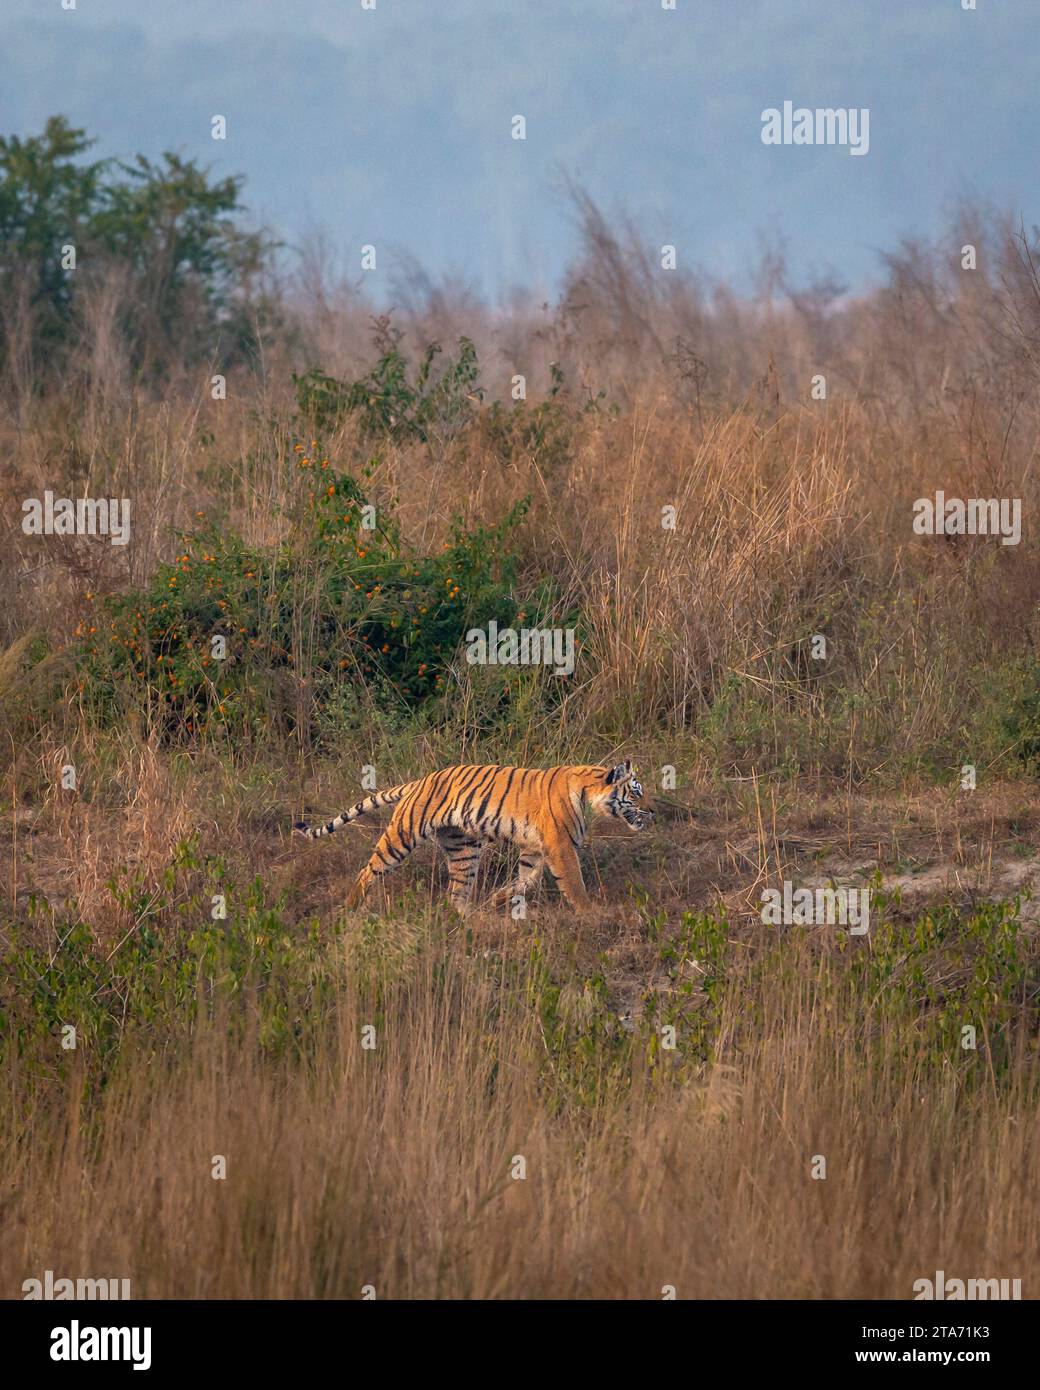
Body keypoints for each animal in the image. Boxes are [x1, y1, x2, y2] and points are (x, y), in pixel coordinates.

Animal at [291, 761, 650, 911]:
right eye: (636, 793)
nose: (653, 813)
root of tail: (418, 781)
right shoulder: (559, 846)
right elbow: (573, 882)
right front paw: (591, 912)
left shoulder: (535, 848)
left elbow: (526, 880)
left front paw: (498, 900)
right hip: (402, 836)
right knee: (369, 870)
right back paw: (351, 906)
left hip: (464, 848)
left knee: (456, 893)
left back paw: (469, 919)